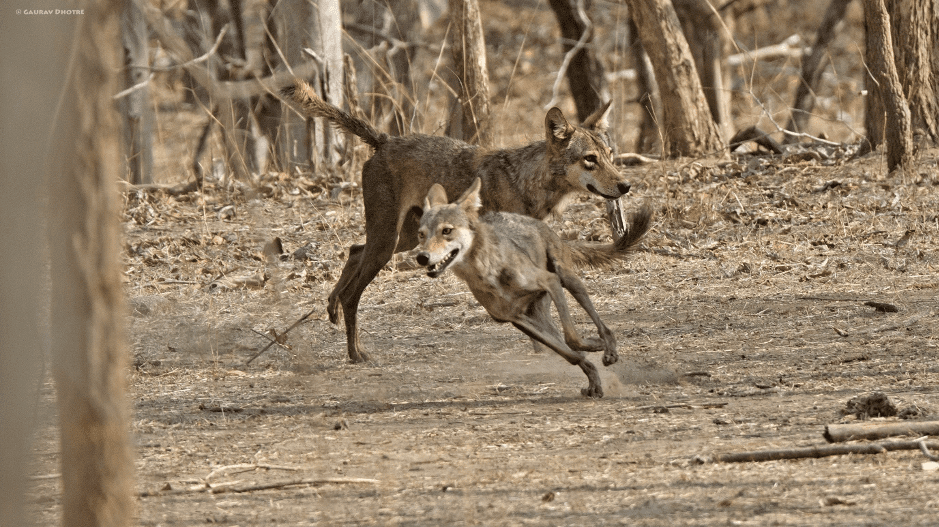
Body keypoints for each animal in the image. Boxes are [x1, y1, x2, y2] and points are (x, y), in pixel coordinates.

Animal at [284, 80, 632, 366]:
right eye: (590, 159)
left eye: (610, 154)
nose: (626, 185)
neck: (526, 182)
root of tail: (385, 139)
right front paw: (548, 350)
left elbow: (541, 305)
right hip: (389, 243)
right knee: (352, 292)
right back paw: (356, 353)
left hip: (403, 240)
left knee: (354, 251)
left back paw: (332, 309)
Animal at [414, 179, 648, 398]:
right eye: (421, 234)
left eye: (446, 231)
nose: (421, 257)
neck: (487, 273)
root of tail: (539, 223)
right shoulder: (515, 319)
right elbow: (570, 353)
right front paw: (592, 375)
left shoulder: (550, 281)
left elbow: (572, 338)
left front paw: (596, 346)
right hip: (540, 315)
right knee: (563, 341)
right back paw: (594, 379)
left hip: (569, 282)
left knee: (601, 325)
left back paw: (609, 349)